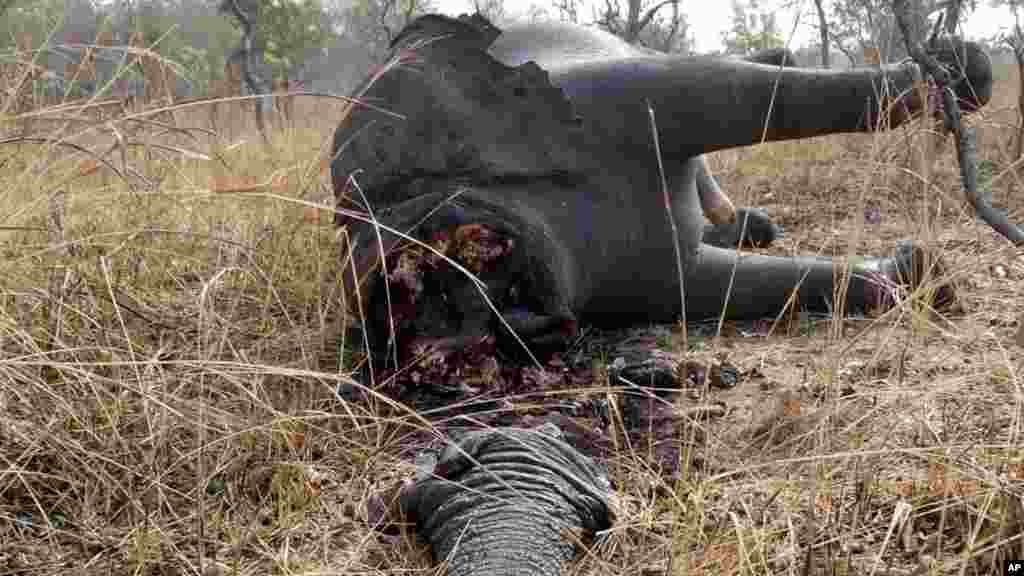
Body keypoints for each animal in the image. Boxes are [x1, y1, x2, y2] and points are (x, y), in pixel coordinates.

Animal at [332, 13, 991, 377]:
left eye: (457, 283)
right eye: (476, 339)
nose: (516, 326)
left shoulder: (637, 98)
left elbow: (789, 97)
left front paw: (950, 73)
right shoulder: (672, 281)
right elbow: (810, 283)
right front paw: (911, 276)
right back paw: (742, 221)